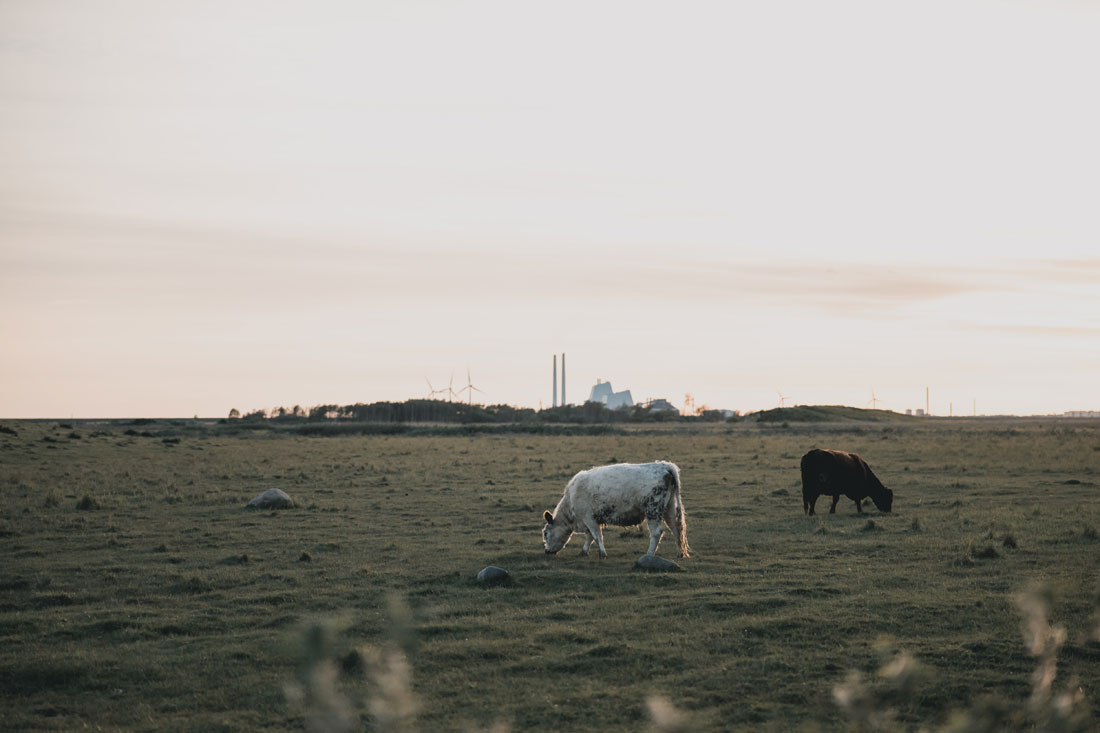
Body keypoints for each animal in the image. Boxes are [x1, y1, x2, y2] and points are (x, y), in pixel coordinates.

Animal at [539, 460, 686, 556]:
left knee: (656, 533)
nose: (546, 551)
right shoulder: (590, 520)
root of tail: (664, 465)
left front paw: (602, 553)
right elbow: (590, 536)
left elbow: (596, 536)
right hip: (669, 509)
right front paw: (584, 551)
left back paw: (649, 554)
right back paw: (680, 553)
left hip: (652, 512)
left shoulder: (589, 518)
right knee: (675, 527)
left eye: (545, 533)